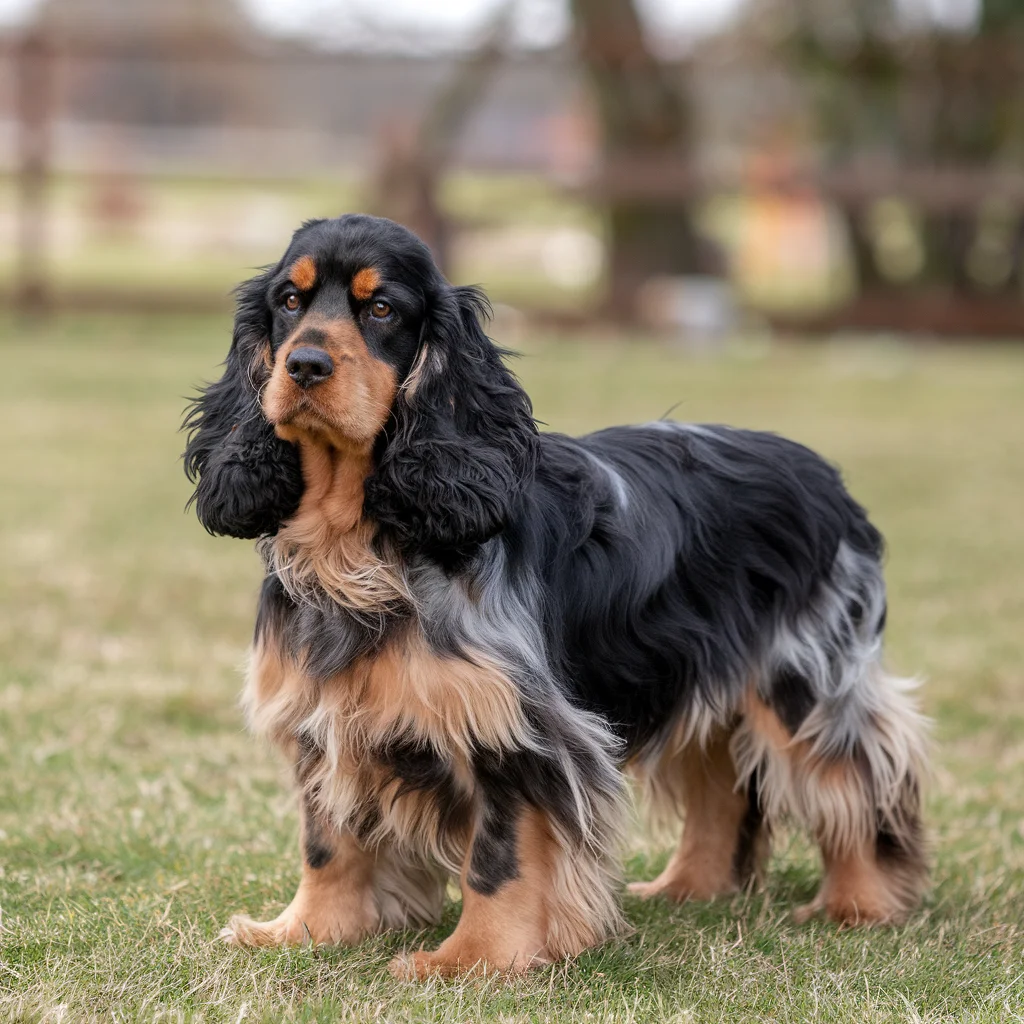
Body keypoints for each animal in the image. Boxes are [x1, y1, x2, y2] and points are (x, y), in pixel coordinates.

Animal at [184, 214, 929, 974]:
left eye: (383, 309)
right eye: (288, 301)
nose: (304, 365)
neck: (359, 542)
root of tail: (828, 477)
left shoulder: (514, 729)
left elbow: (499, 858)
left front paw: (472, 960)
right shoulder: (323, 716)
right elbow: (327, 844)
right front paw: (303, 931)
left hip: (804, 683)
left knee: (858, 781)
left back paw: (859, 904)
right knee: (719, 785)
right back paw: (687, 890)